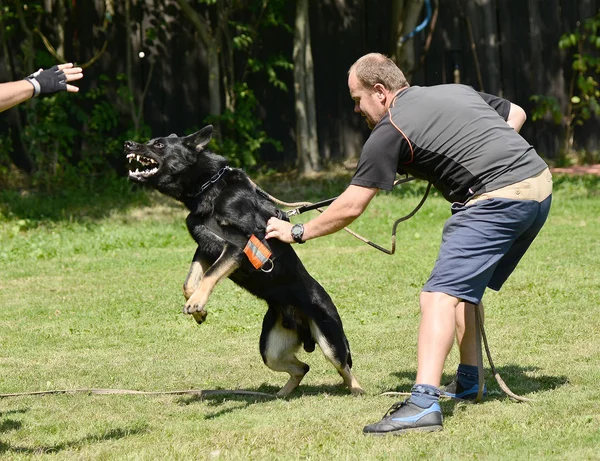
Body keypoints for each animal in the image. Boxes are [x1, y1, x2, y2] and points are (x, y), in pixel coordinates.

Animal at [124, 125, 364, 396]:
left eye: (159, 145)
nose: (128, 144)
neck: (209, 189)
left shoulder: (238, 247)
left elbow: (209, 275)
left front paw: (196, 303)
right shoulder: (205, 248)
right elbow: (189, 282)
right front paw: (199, 308)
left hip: (329, 338)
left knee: (344, 367)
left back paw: (356, 390)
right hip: (269, 349)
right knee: (303, 368)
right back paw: (281, 394)